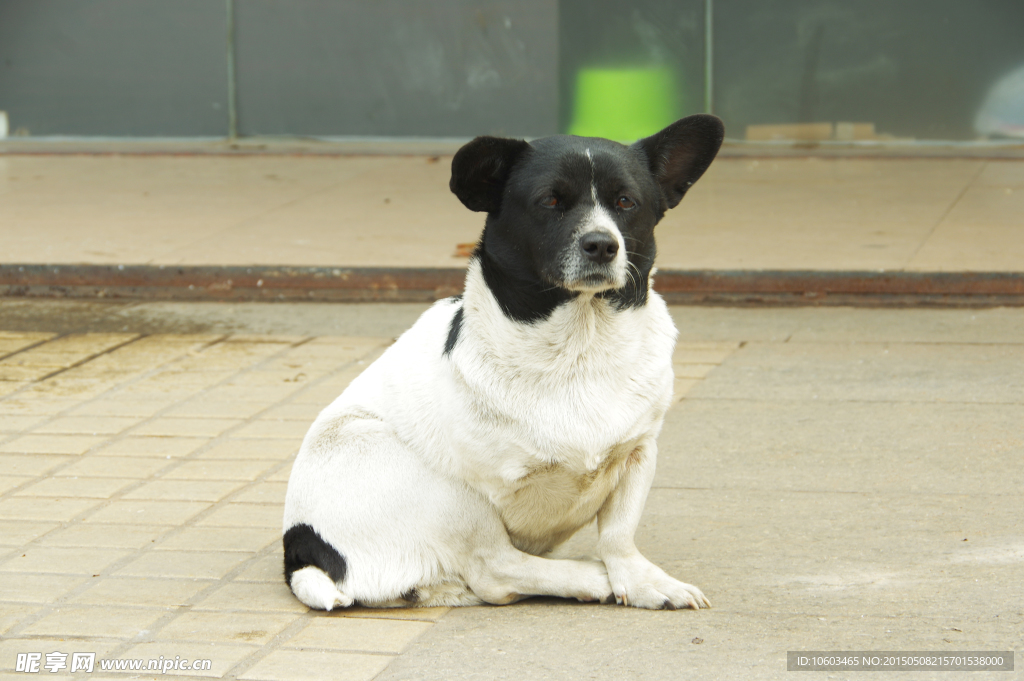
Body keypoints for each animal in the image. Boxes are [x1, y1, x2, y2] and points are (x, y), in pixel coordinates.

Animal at [284, 112, 724, 610]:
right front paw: (612, 577)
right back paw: (587, 578)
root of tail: (302, 553)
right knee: (495, 570)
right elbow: (506, 557)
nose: (602, 244)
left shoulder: (638, 452)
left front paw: (642, 580)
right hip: (415, 472)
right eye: (550, 200)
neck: (578, 342)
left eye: (626, 202)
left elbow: (618, 534)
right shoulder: (483, 487)